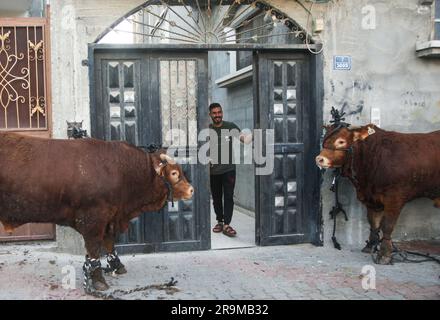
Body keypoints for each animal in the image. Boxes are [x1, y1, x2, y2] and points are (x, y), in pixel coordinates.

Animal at [0, 131, 192, 292]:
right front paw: (99, 280)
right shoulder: (93, 220)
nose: (191, 189)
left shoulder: (109, 218)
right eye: (174, 173)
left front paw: (116, 266)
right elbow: (93, 250)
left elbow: (109, 242)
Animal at [316, 124, 440, 264]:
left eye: (341, 141)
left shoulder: (394, 199)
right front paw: (370, 246)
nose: (319, 159)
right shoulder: (372, 199)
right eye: (325, 139)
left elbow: (387, 226)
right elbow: (373, 223)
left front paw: (384, 254)